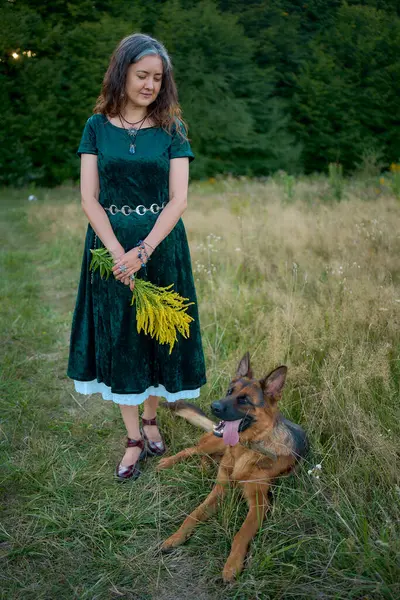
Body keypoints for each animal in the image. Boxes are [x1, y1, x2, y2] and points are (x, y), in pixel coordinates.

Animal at [157, 352, 310, 580]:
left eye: (244, 399)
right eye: (230, 391)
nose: (214, 406)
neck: (244, 451)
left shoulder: (259, 504)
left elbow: (242, 533)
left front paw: (232, 565)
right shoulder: (220, 490)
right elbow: (194, 514)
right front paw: (176, 537)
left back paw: (206, 467)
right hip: (214, 443)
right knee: (192, 450)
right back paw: (169, 462)